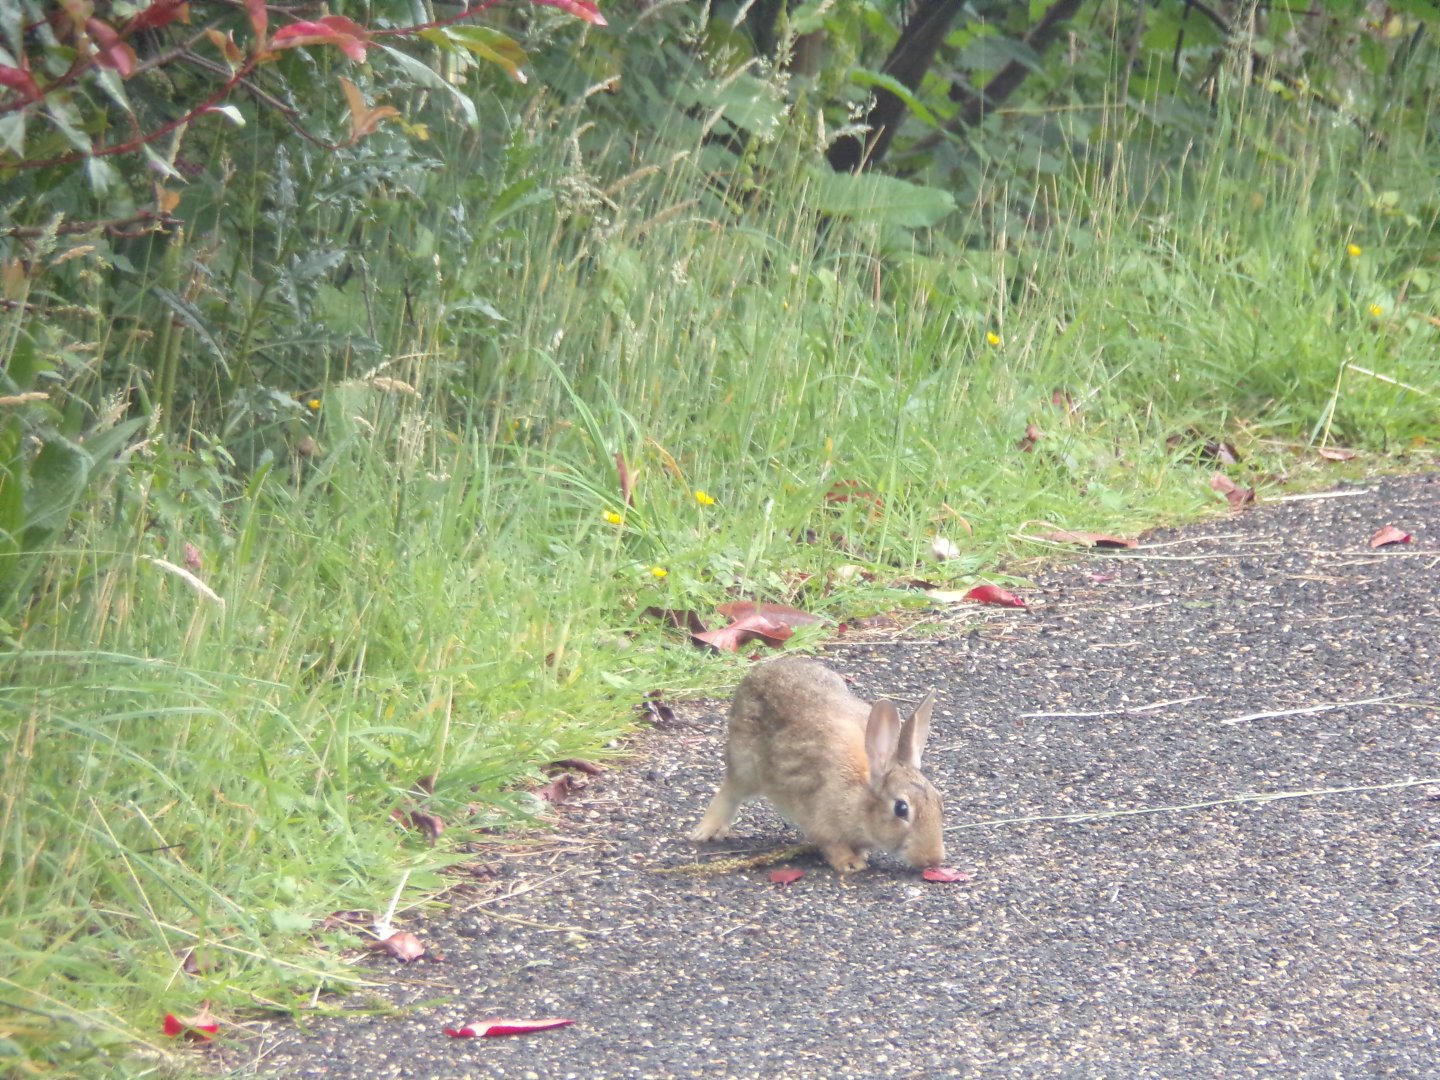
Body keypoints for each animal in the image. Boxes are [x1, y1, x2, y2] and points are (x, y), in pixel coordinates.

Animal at [689, 656, 945, 874]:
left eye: (939, 801)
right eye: (901, 809)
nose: (933, 859)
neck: (860, 793)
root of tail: (759, 673)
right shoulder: (823, 822)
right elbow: (833, 845)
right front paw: (851, 864)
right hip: (745, 764)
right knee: (730, 791)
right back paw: (706, 831)